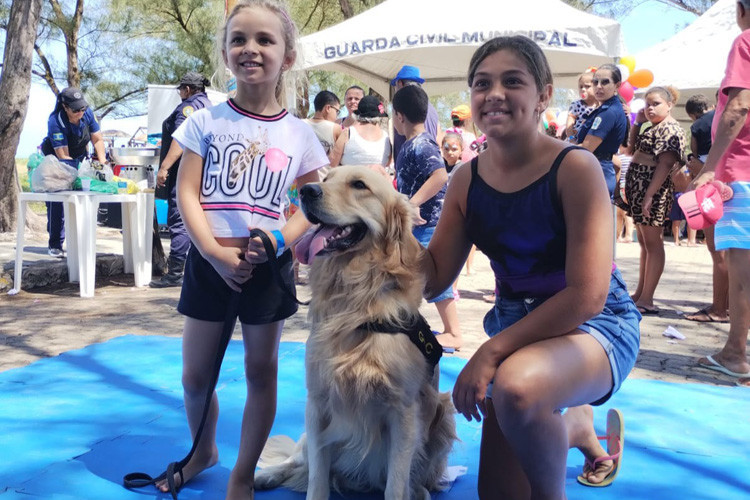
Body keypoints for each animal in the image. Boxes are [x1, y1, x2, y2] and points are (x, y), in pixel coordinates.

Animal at [256, 166, 458, 498]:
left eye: (359, 185)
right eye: (325, 180)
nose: (308, 190)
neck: (356, 302)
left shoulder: (403, 412)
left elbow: (395, 485)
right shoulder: (318, 402)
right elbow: (316, 480)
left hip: (444, 416)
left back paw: (419, 490)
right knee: (298, 460)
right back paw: (268, 475)